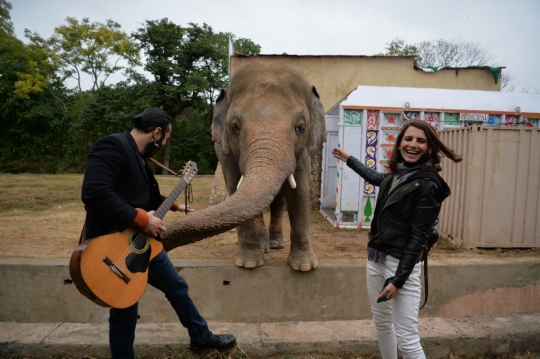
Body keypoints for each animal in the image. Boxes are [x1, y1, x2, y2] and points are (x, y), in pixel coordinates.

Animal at [160, 61, 326, 272]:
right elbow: (235, 187)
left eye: (301, 127)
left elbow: (300, 192)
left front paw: (304, 266)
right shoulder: (226, 154)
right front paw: (248, 263)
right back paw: (264, 246)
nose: (158, 239)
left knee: (278, 203)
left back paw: (275, 245)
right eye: (235, 126)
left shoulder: (303, 153)